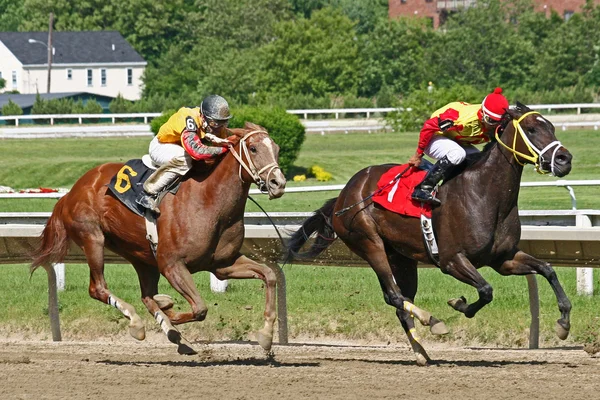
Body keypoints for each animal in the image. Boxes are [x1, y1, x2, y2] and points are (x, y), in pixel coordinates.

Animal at [31, 123, 288, 354]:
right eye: (253, 148)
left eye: (276, 149)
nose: (278, 183)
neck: (209, 200)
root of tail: (70, 192)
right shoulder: (171, 264)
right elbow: (199, 309)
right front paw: (169, 308)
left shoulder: (222, 264)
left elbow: (269, 275)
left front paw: (266, 336)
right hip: (93, 238)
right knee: (98, 288)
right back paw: (138, 323)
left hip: (141, 256)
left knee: (146, 296)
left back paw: (175, 336)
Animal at [288, 104, 576, 366]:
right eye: (531, 129)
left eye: (552, 126)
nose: (565, 159)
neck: (484, 194)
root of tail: (344, 194)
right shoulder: (451, 259)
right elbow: (486, 290)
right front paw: (459, 304)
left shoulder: (503, 259)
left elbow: (547, 269)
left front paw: (563, 322)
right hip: (369, 243)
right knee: (395, 295)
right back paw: (432, 320)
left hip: (401, 257)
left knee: (400, 301)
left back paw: (421, 354)